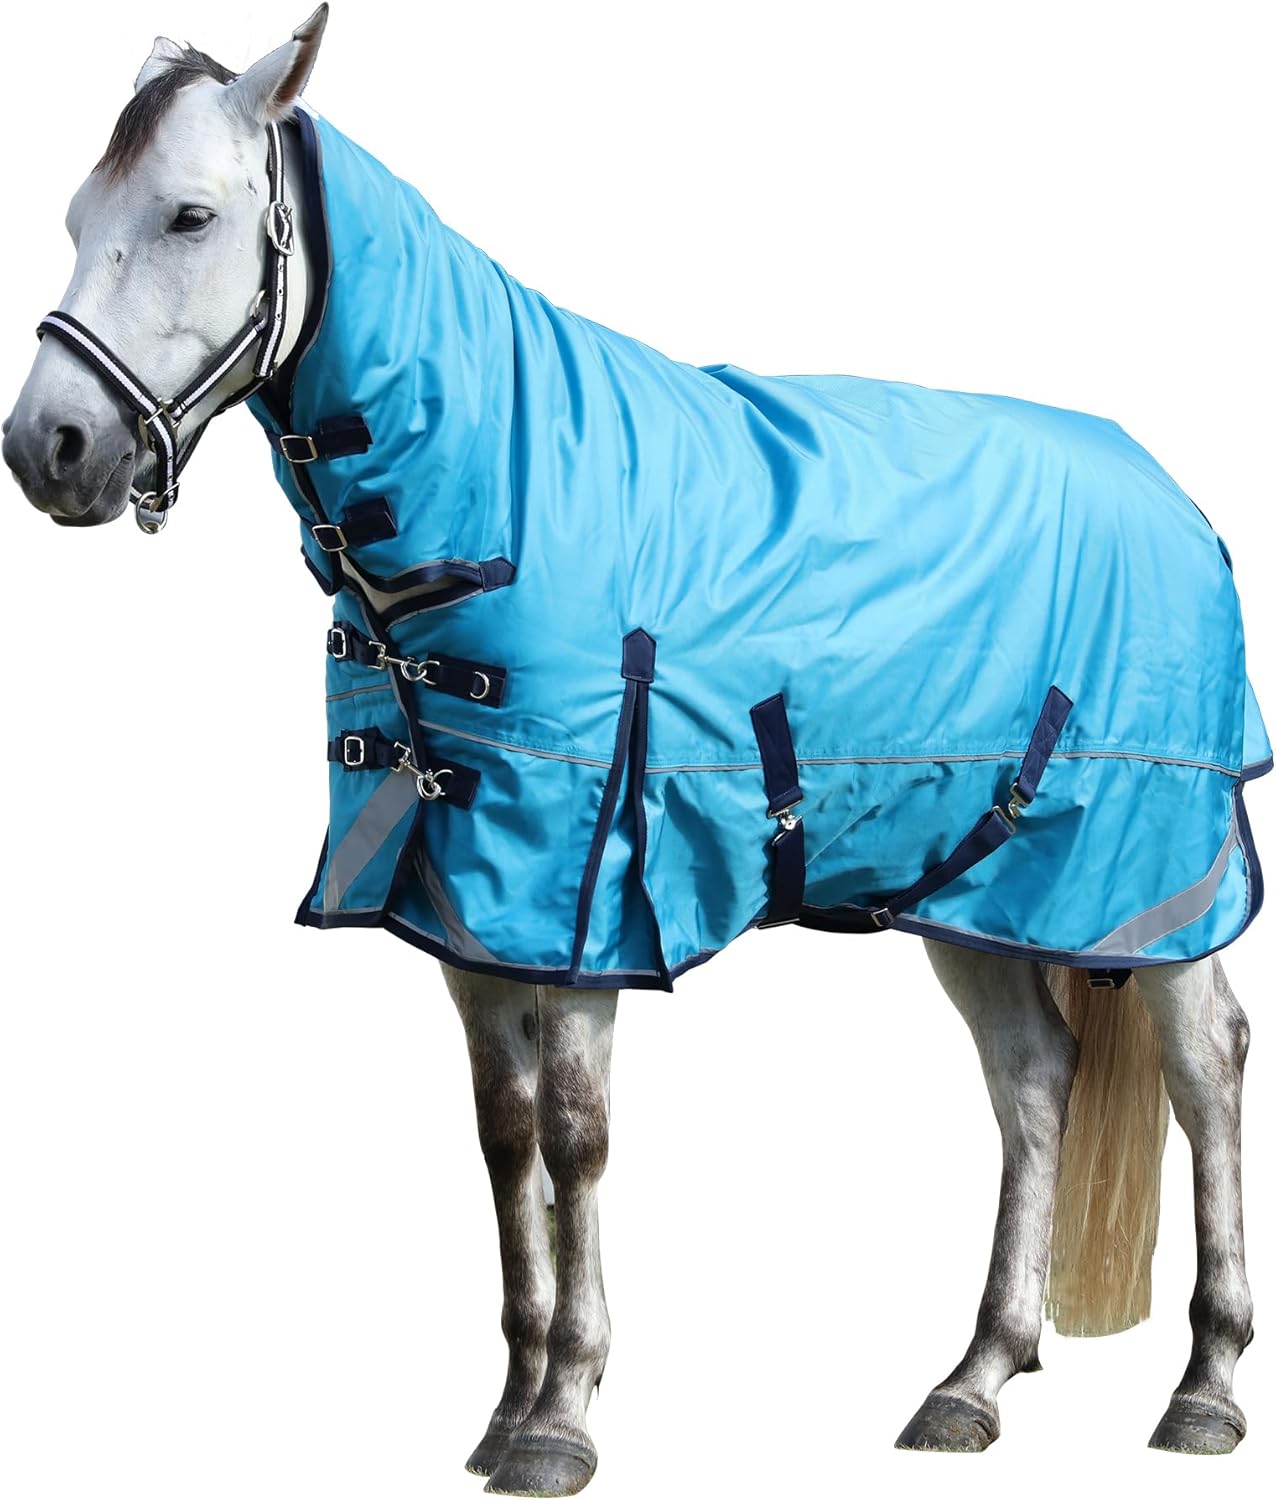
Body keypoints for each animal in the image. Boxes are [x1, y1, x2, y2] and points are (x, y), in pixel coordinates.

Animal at [1, 7, 1261, 1492]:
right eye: (75, 216)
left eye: (190, 215)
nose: (49, 447)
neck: (498, 492)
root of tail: (1174, 499)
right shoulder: (469, 909)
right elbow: (503, 1145)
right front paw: (506, 1405)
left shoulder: (585, 895)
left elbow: (576, 1138)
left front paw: (562, 1417)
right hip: (974, 885)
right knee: (1032, 1081)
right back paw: (973, 1382)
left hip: (1143, 872)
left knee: (1207, 1066)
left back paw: (1205, 1389)